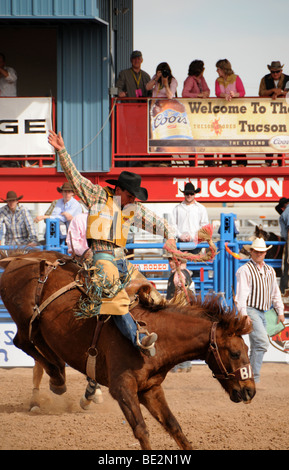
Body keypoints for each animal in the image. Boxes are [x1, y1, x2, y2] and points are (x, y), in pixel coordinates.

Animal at [0, 252, 255, 450]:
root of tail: (17, 259)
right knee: (22, 341)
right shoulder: (123, 388)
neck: (156, 337)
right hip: (25, 318)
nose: (250, 391)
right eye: (235, 353)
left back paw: (58, 375)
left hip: (41, 328)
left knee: (39, 345)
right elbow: (141, 430)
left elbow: (174, 426)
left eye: (247, 349)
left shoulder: (150, 389)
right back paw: (56, 377)